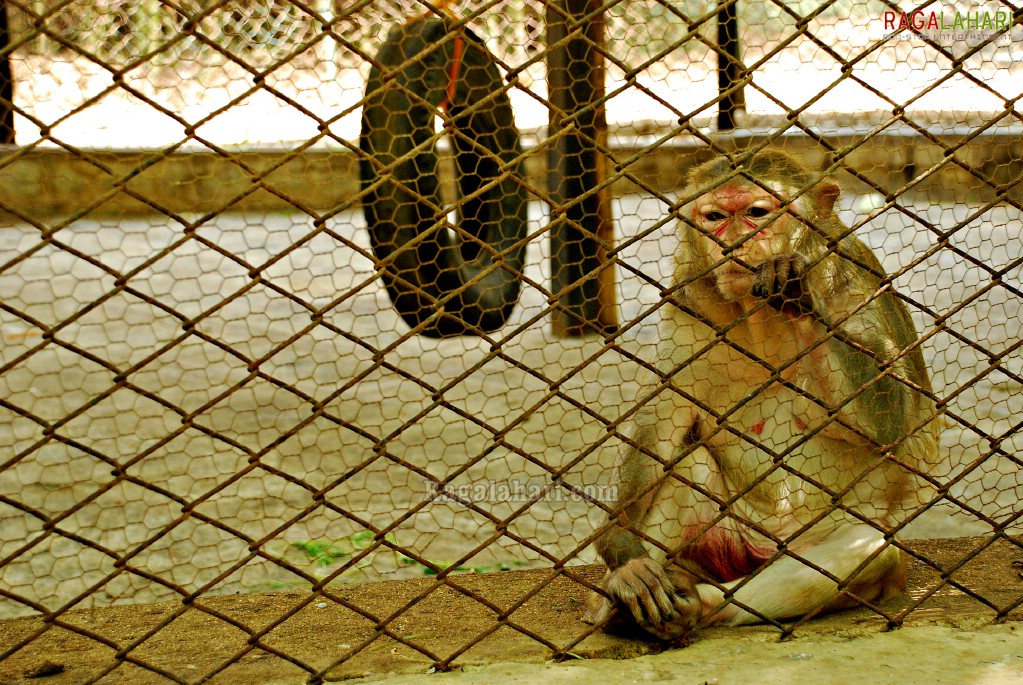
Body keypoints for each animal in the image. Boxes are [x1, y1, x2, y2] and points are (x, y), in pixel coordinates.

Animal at [589, 150, 937, 646]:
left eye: (756, 212)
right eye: (715, 217)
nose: (733, 242)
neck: (758, 316)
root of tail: (761, 549)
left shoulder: (852, 285)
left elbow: (891, 422)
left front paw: (794, 292)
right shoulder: (690, 305)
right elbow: (662, 423)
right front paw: (621, 549)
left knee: (872, 549)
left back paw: (708, 604)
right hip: (725, 541)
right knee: (688, 468)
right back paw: (630, 602)